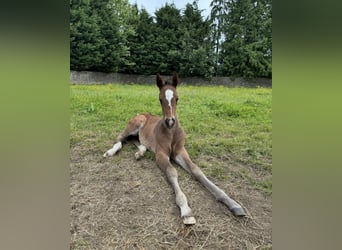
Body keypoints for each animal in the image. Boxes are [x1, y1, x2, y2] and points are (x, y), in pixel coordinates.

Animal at [104, 73, 246, 225]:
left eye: (177, 98)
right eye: (160, 99)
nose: (170, 121)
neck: (171, 133)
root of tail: (142, 113)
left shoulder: (180, 151)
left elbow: (197, 170)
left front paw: (232, 203)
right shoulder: (161, 154)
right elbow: (172, 172)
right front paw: (186, 210)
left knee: (138, 141)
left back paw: (139, 153)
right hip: (134, 125)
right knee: (120, 138)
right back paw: (110, 152)